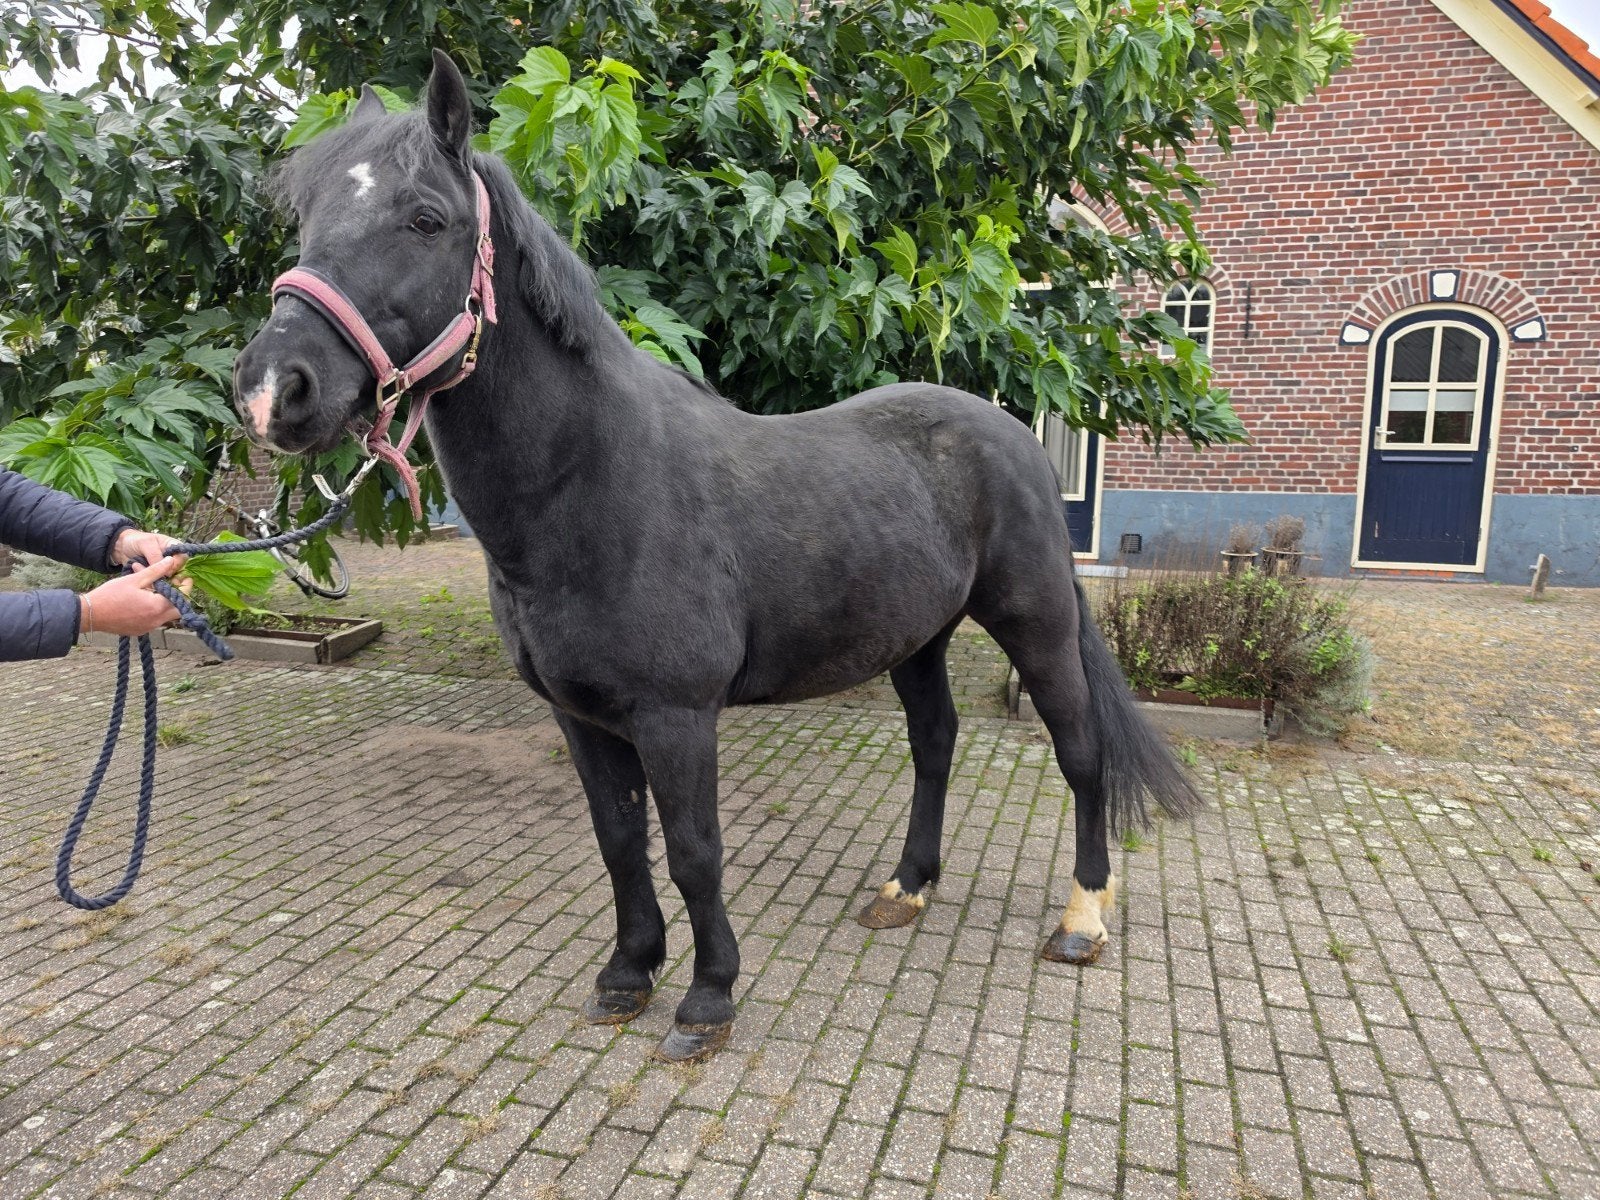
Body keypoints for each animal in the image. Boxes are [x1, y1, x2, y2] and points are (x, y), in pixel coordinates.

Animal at [234, 51, 1202, 1062]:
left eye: (426, 218)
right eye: (308, 218)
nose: (272, 389)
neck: (594, 487)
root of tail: (1009, 432)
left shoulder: (676, 716)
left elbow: (696, 850)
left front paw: (707, 997)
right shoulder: (581, 717)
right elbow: (620, 841)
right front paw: (628, 974)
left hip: (1035, 622)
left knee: (1080, 752)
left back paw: (1082, 919)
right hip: (917, 641)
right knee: (935, 745)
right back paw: (905, 889)